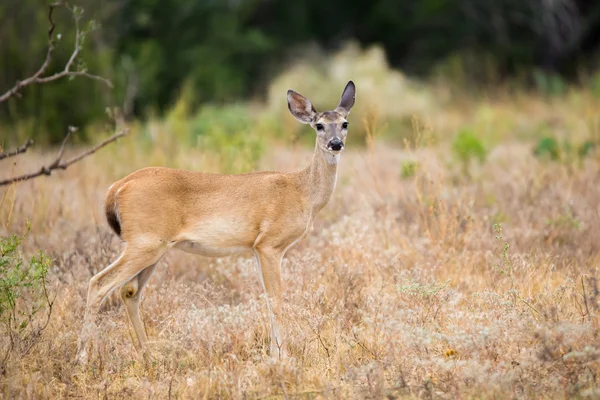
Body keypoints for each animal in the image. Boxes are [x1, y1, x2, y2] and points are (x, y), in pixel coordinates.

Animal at [76, 80, 356, 362]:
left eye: (345, 123)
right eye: (319, 125)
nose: (335, 144)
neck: (302, 192)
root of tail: (118, 188)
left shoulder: (255, 248)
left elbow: (267, 298)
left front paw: (272, 353)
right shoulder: (270, 244)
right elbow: (275, 299)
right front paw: (281, 356)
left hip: (153, 247)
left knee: (129, 292)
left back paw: (149, 355)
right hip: (145, 242)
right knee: (98, 283)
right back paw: (83, 357)